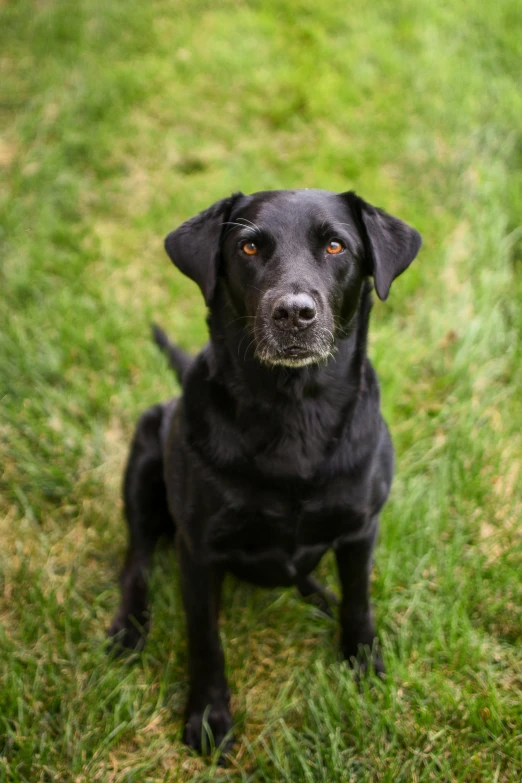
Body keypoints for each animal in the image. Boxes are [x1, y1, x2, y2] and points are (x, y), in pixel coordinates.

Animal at [107, 188, 420, 752]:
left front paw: (364, 663)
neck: (293, 412)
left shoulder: (361, 527)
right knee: (137, 558)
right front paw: (208, 717)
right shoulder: (199, 549)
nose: (294, 313)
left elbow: (360, 601)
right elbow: (205, 638)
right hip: (143, 457)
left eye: (336, 245)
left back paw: (320, 595)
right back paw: (129, 626)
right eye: (249, 247)